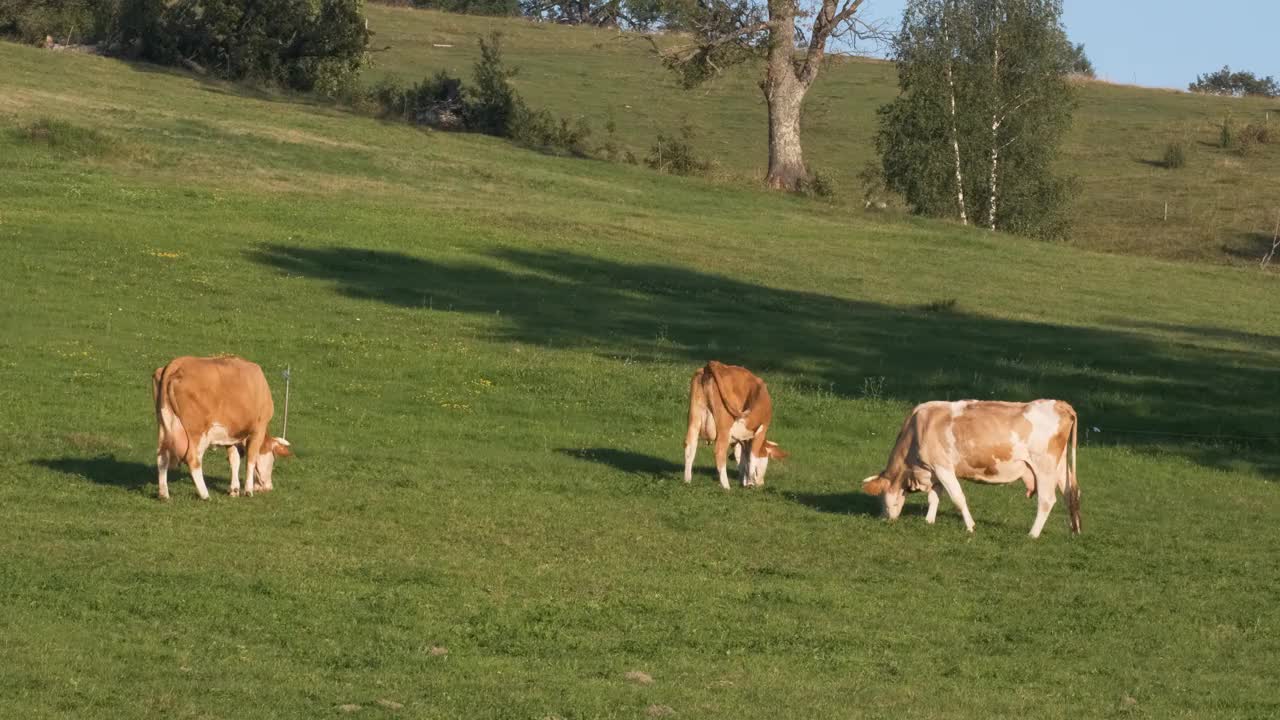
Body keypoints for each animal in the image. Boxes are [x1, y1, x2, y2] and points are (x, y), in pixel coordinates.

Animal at [151, 353, 290, 499]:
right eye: (273, 460)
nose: (269, 487)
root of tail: (177, 364)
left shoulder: (231, 435)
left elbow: (234, 460)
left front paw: (234, 490)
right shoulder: (258, 429)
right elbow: (251, 459)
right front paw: (248, 490)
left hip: (164, 425)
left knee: (162, 456)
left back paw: (164, 494)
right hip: (197, 433)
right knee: (193, 459)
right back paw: (205, 494)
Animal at [686, 358, 783, 486]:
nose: (761, 483)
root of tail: (714, 364)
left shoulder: (739, 439)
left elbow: (741, 457)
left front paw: (744, 481)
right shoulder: (761, 430)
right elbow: (752, 457)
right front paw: (750, 482)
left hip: (694, 417)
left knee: (690, 445)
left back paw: (687, 480)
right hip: (724, 426)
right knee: (719, 451)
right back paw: (726, 486)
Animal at [860, 397, 1080, 538]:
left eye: (881, 497)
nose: (884, 519)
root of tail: (1060, 404)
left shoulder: (943, 467)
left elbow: (957, 497)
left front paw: (970, 527)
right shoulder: (935, 471)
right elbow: (935, 496)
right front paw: (929, 521)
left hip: (1044, 467)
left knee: (1047, 500)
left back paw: (1033, 534)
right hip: (1060, 467)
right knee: (1071, 494)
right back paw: (1074, 530)